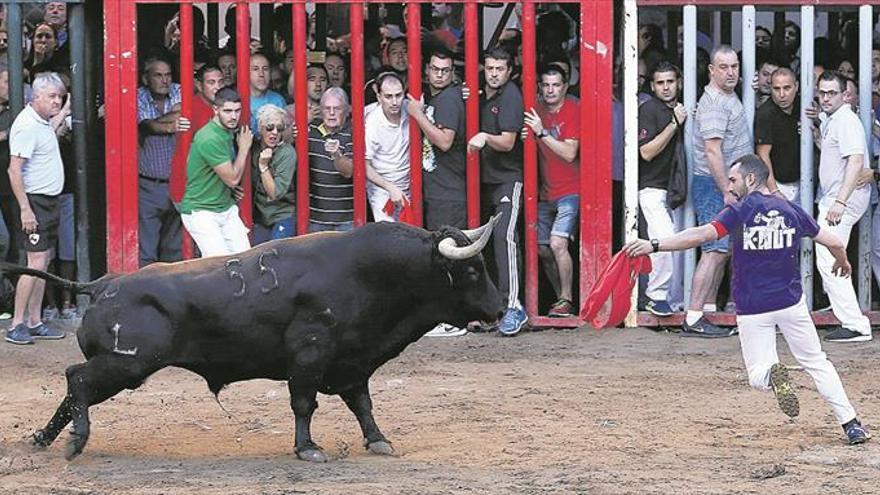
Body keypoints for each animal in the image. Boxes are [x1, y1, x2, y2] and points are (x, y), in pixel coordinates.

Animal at [1, 220, 502, 462]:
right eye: (472, 271)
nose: (499, 310)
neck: (373, 272)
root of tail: (103, 283)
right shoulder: (310, 353)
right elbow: (303, 403)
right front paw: (307, 449)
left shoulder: (352, 363)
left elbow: (363, 405)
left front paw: (378, 441)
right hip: (126, 364)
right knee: (77, 379)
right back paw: (74, 442)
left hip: (122, 366)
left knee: (74, 386)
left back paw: (43, 438)